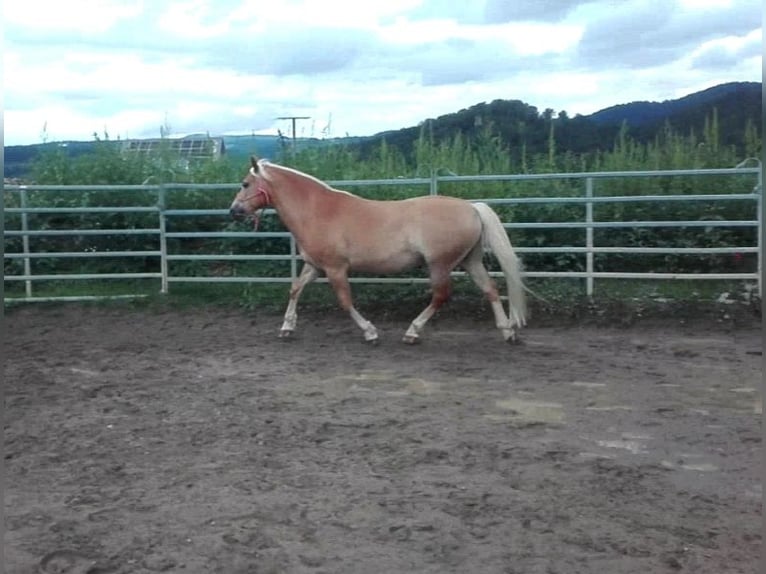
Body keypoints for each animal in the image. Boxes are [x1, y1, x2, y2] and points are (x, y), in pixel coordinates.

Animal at [230, 158, 528, 344]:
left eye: (245, 183)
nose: (233, 211)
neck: (318, 211)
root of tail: (471, 207)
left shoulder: (336, 268)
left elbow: (345, 301)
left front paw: (370, 332)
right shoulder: (315, 266)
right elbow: (295, 289)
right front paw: (287, 328)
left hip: (440, 265)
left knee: (441, 296)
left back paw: (412, 332)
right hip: (469, 260)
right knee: (490, 289)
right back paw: (508, 332)